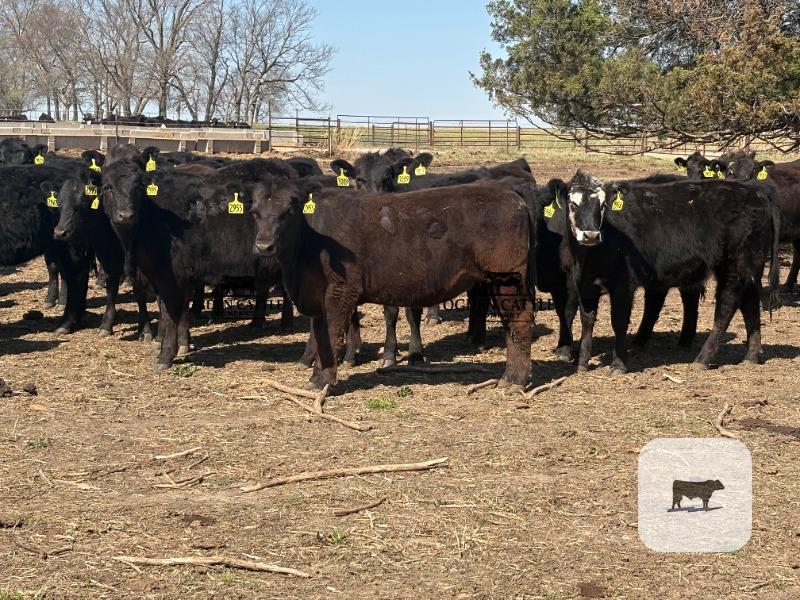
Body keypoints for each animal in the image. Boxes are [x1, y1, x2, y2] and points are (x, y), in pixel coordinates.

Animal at [101, 147, 297, 369]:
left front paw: (167, 353)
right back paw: (257, 322)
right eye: (107, 186)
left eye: (138, 185)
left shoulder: (173, 276)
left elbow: (171, 312)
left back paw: (286, 322)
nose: (125, 215)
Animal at [251, 178, 537, 391]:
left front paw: (324, 381)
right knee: (510, 324)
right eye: (255, 213)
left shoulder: (340, 290)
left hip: (508, 279)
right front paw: (315, 376)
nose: (264, 245)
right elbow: (319, 334)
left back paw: (516, 380)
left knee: (520, 321)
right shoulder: (317, 296)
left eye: (288, 213)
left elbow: (331, 333)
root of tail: (510, 193)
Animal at [552, 170, 779, 373]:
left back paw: (703, 358)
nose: (591, 235)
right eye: (572, 204)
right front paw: (582, 363)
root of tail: (754, 193)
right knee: (750, 303)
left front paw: (618, 364)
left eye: (602, 205)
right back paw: (751, 355)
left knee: (727, 305)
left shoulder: (624, 286)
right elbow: (587, 321)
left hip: (733, 266)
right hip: (747, 268)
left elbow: (619, 321)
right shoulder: (584, 284)